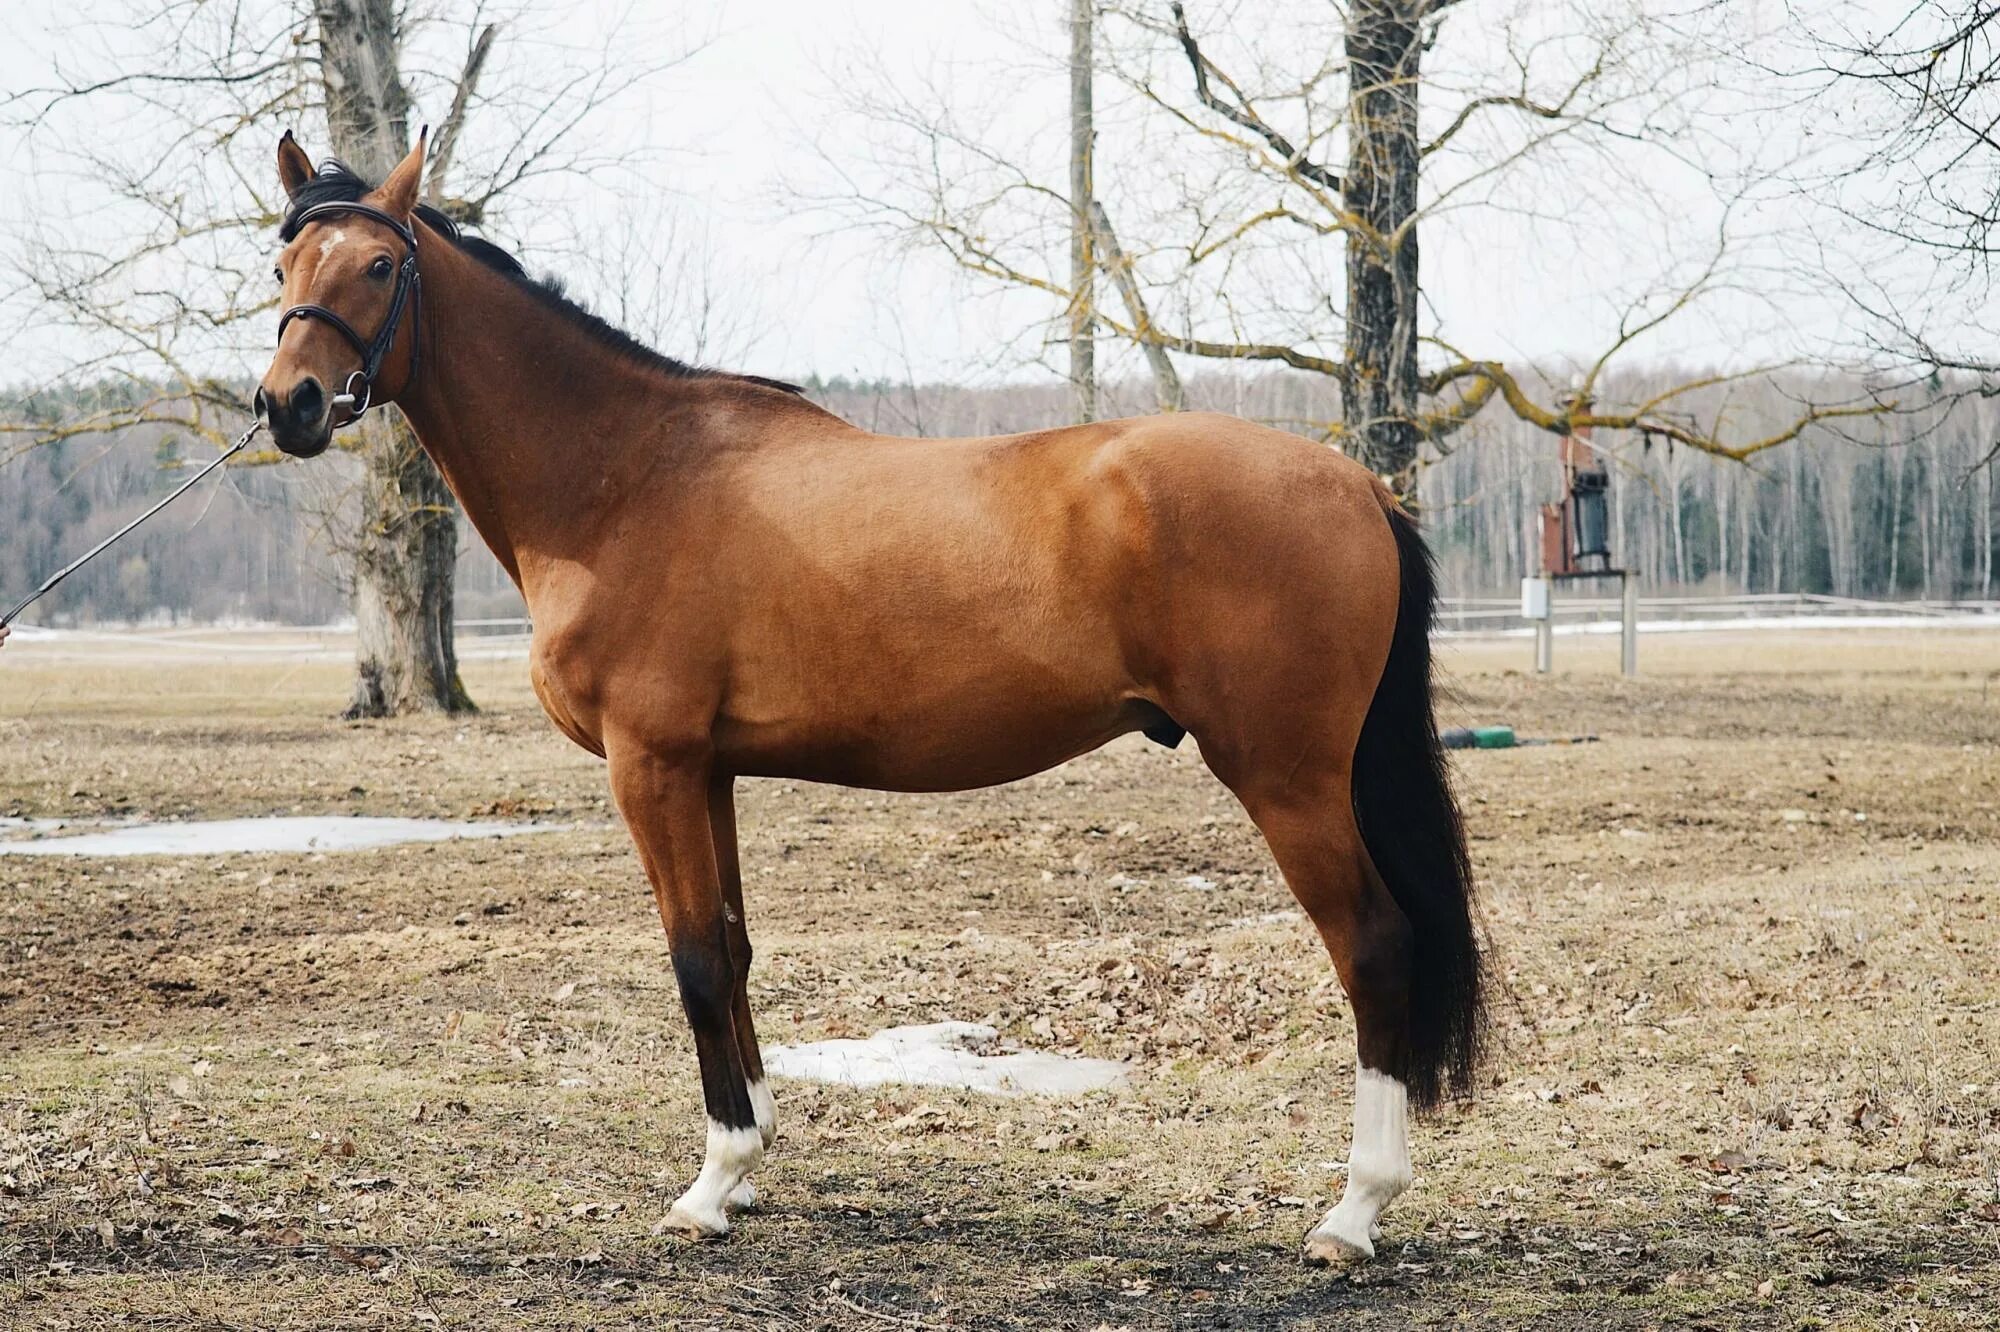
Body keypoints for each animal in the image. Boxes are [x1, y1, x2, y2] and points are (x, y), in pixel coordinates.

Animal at [258, 130, 1480, 1264]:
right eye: (283, 265)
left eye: (378, 264)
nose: (289, 405)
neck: (622, 478)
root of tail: (1356, 484)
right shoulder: (707, 769)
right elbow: (734, 949)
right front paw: (747, 1164)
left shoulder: (650, 764)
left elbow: (693, 959)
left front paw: (710, 1186)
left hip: (1288, 779)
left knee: (1373, 946)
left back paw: (1354, 1211)